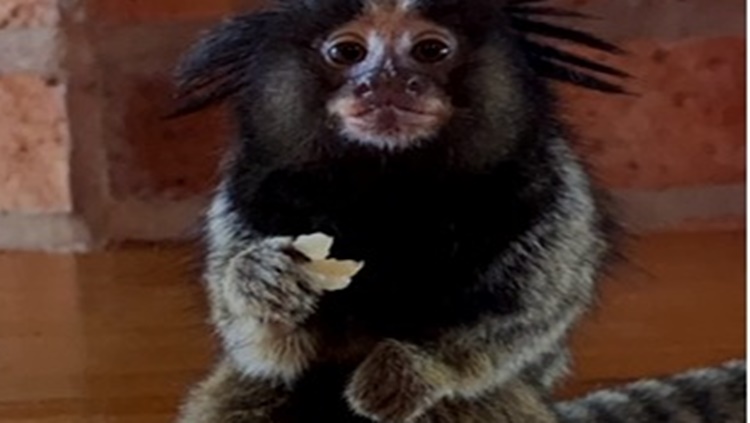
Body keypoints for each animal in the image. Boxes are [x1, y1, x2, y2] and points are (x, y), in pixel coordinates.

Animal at [169, 0, 745, 422]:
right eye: (347, 51)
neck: (389, 192)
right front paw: (264, 279)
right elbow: (260, 349)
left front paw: (413, 371)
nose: (384, 82)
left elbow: (525, 321)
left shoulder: (556, 204)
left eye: (430, 50)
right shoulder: (242, 204)